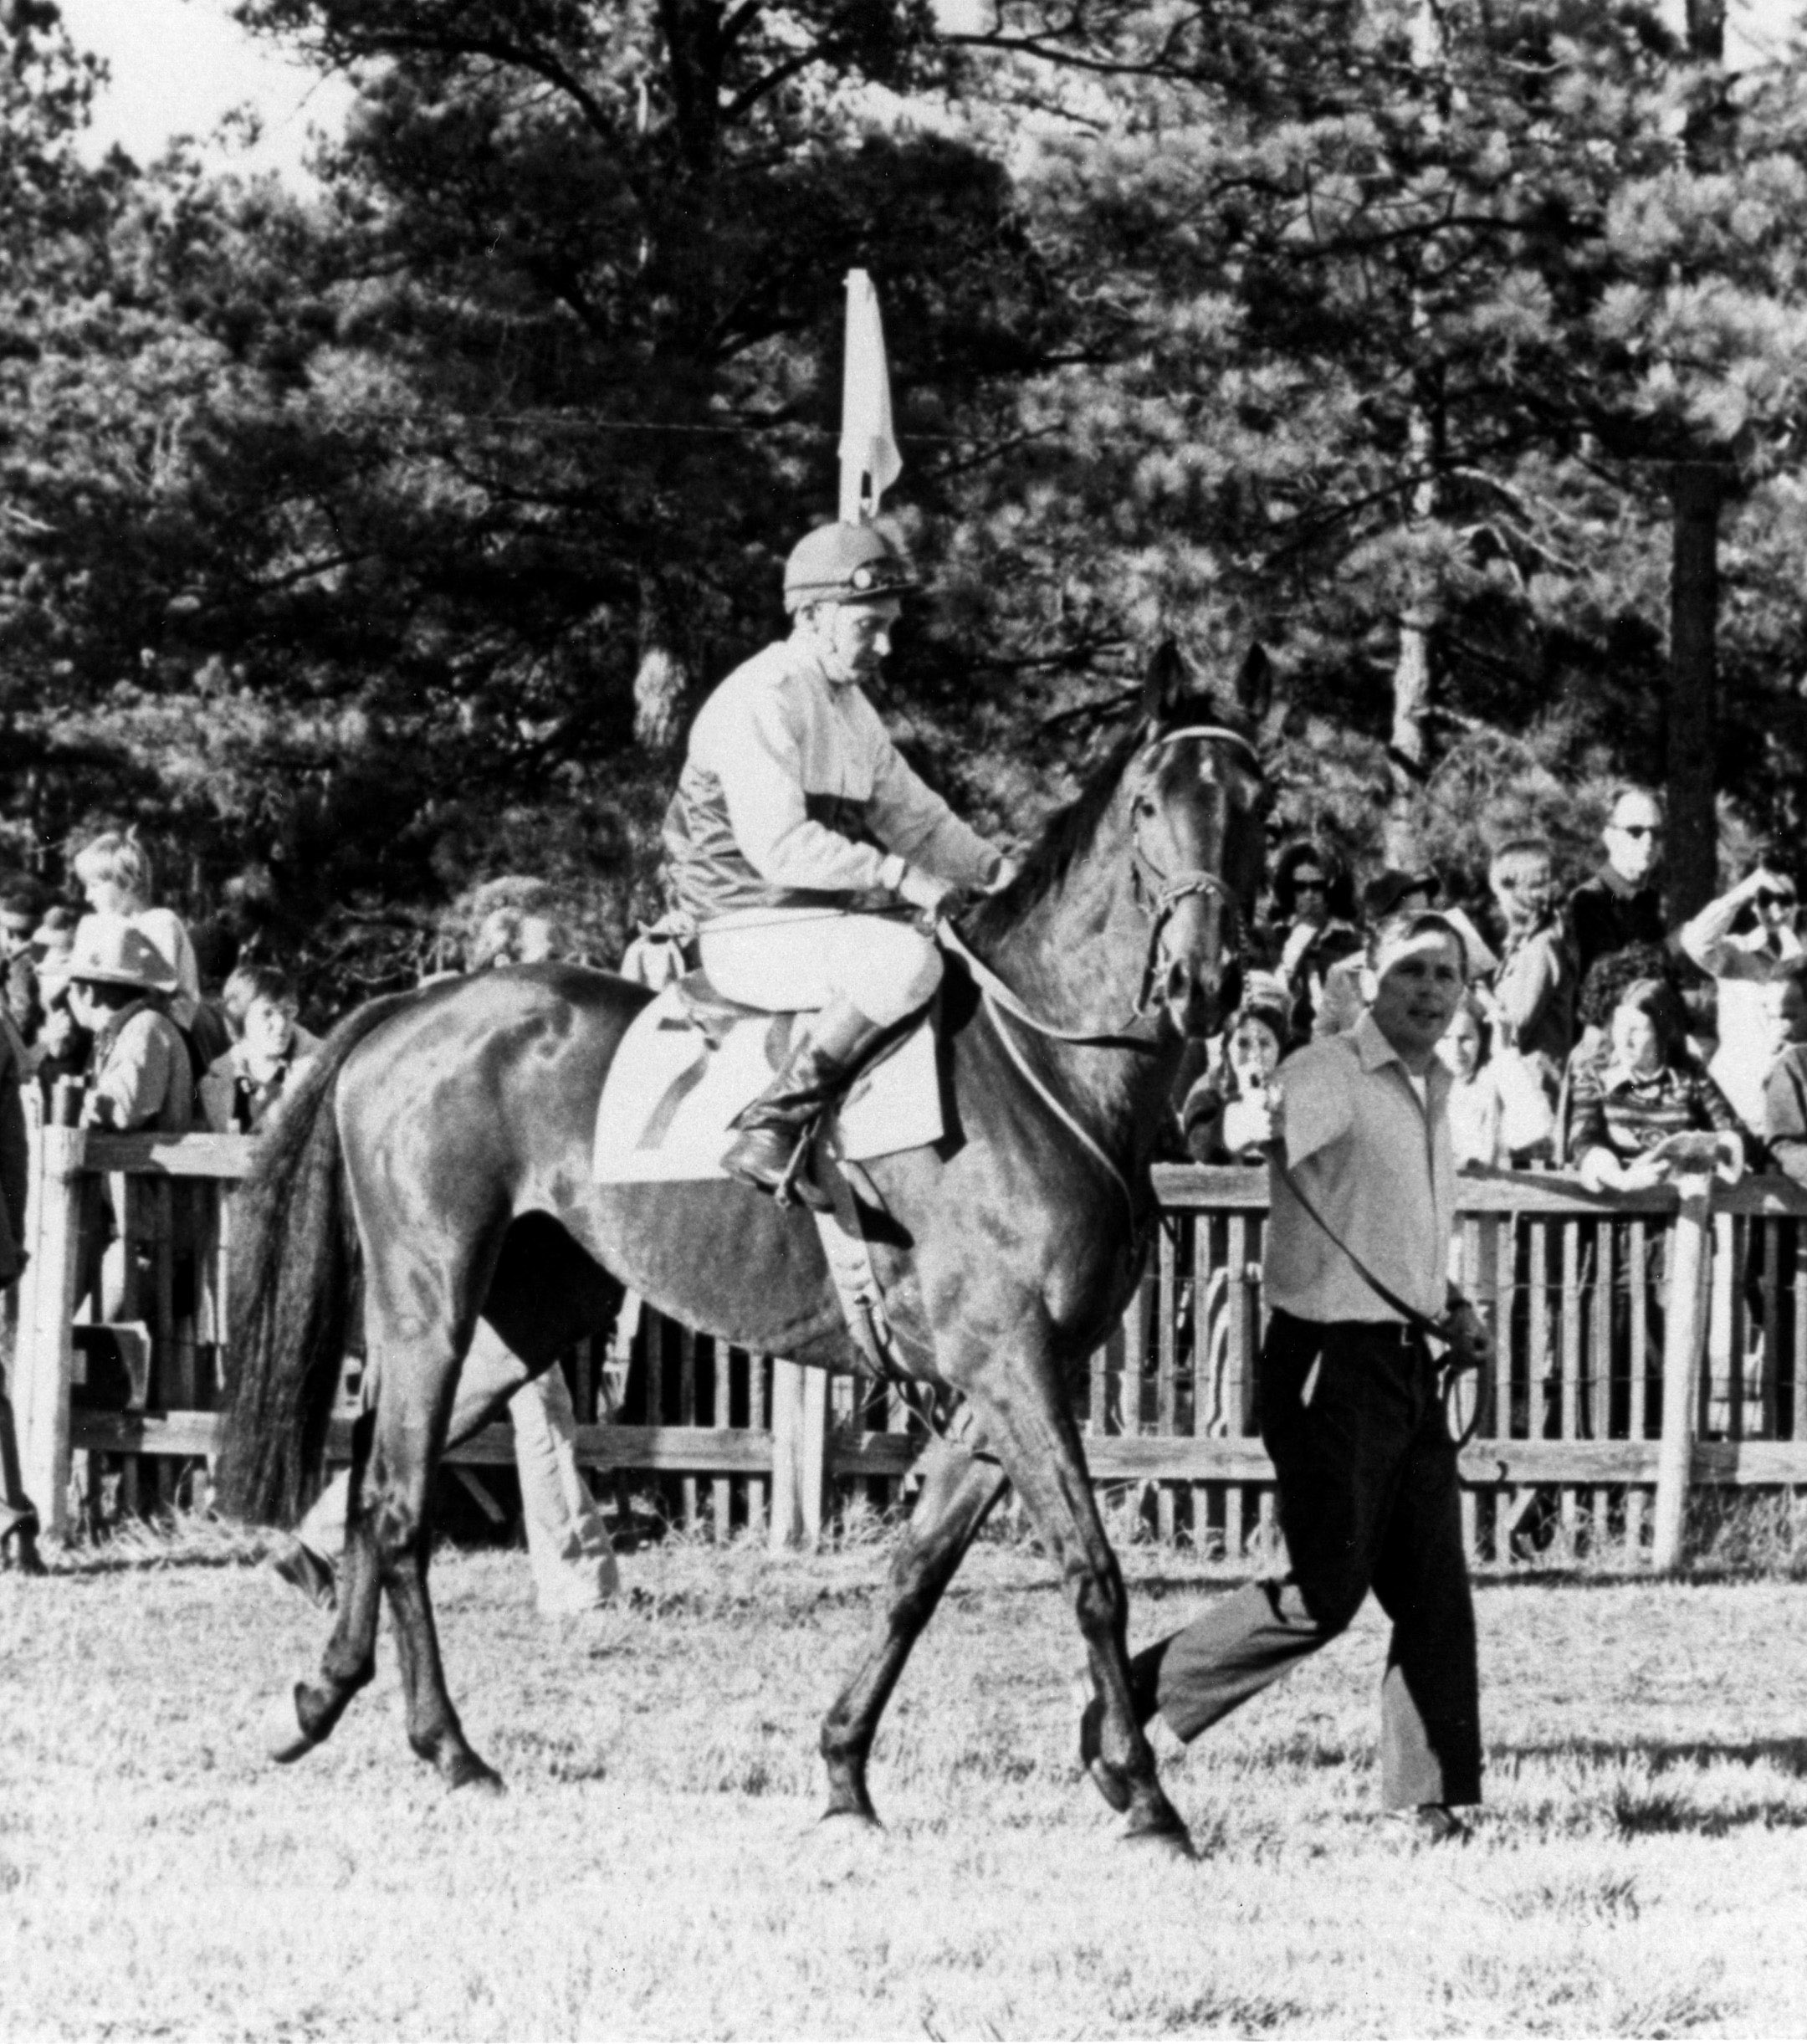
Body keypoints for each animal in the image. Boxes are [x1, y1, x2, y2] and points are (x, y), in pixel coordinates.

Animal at [215, 642, 1267, 1856]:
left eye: (1255, 802)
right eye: (1149, 804)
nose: (1203, 979)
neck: (1044, 1063)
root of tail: (410, 1009)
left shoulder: (994, 1388)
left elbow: (916, 1571)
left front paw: (846, 1766)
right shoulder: (1012, 1364)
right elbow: (1094, 1570)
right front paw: (1145, 1793)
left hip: (532, 1311)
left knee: (378, 1493)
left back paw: (329, 1700)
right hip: (428, 1297)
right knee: (394, 1500)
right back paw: (446, 1744)